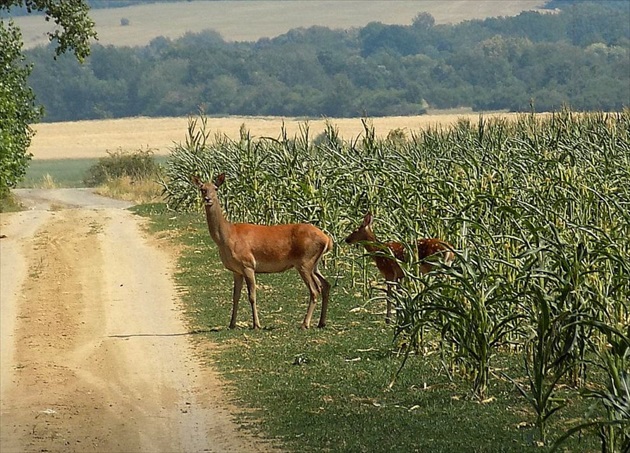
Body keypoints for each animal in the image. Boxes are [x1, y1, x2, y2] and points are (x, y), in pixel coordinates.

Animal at [191, 174, 334, 328]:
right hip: (314, 264)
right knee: (325, 285)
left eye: (216, 188)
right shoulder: (236, 270)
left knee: (315, 290)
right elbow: (235, 296)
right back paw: (321, 322)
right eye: (202, 189)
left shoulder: (247, 264)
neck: (228, 236)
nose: (208, 199)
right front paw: (231, 324)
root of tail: (327, 239)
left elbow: (252, 296)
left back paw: (305, 324)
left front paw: (256, 324)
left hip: (305, 261)